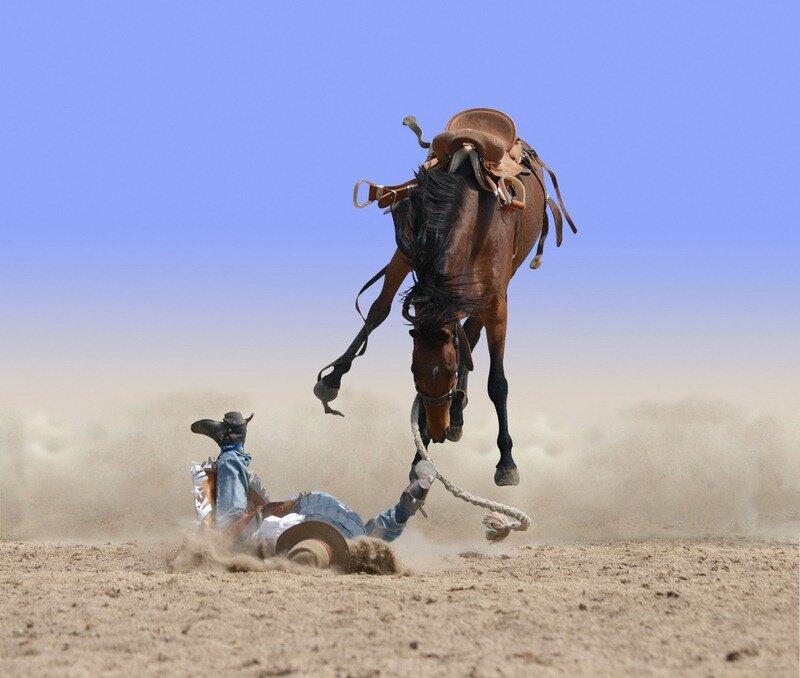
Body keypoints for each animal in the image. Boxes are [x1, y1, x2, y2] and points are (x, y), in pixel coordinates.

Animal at [314, 109, 576, 486]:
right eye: (413, 371)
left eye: (450, 373)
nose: (435, 431)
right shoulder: (407, 254)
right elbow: (378, 311)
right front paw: (334, 378)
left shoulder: (497, 300)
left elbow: (497, 381)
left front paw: (505, 460)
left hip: (503, 280)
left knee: (473, 333)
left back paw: (459, 418)